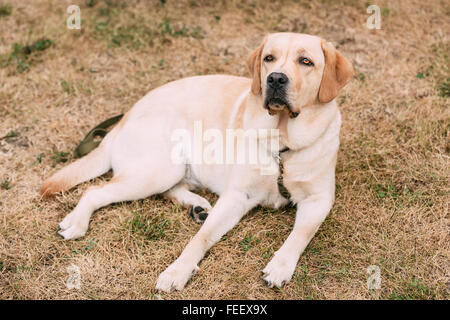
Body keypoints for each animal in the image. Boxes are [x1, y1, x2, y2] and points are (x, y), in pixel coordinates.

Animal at [40, 31, 354, 290]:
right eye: (269, 58)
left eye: (306, 61)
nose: (275, 78)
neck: (282, 143)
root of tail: (124, 118)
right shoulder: (238, 195)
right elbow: (201, 238)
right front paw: (177, 270)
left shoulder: (319, 199)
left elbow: (301, 233)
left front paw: (280, 265)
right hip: (160, 168)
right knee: (96, 190)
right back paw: (77, 221)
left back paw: (198, 206)